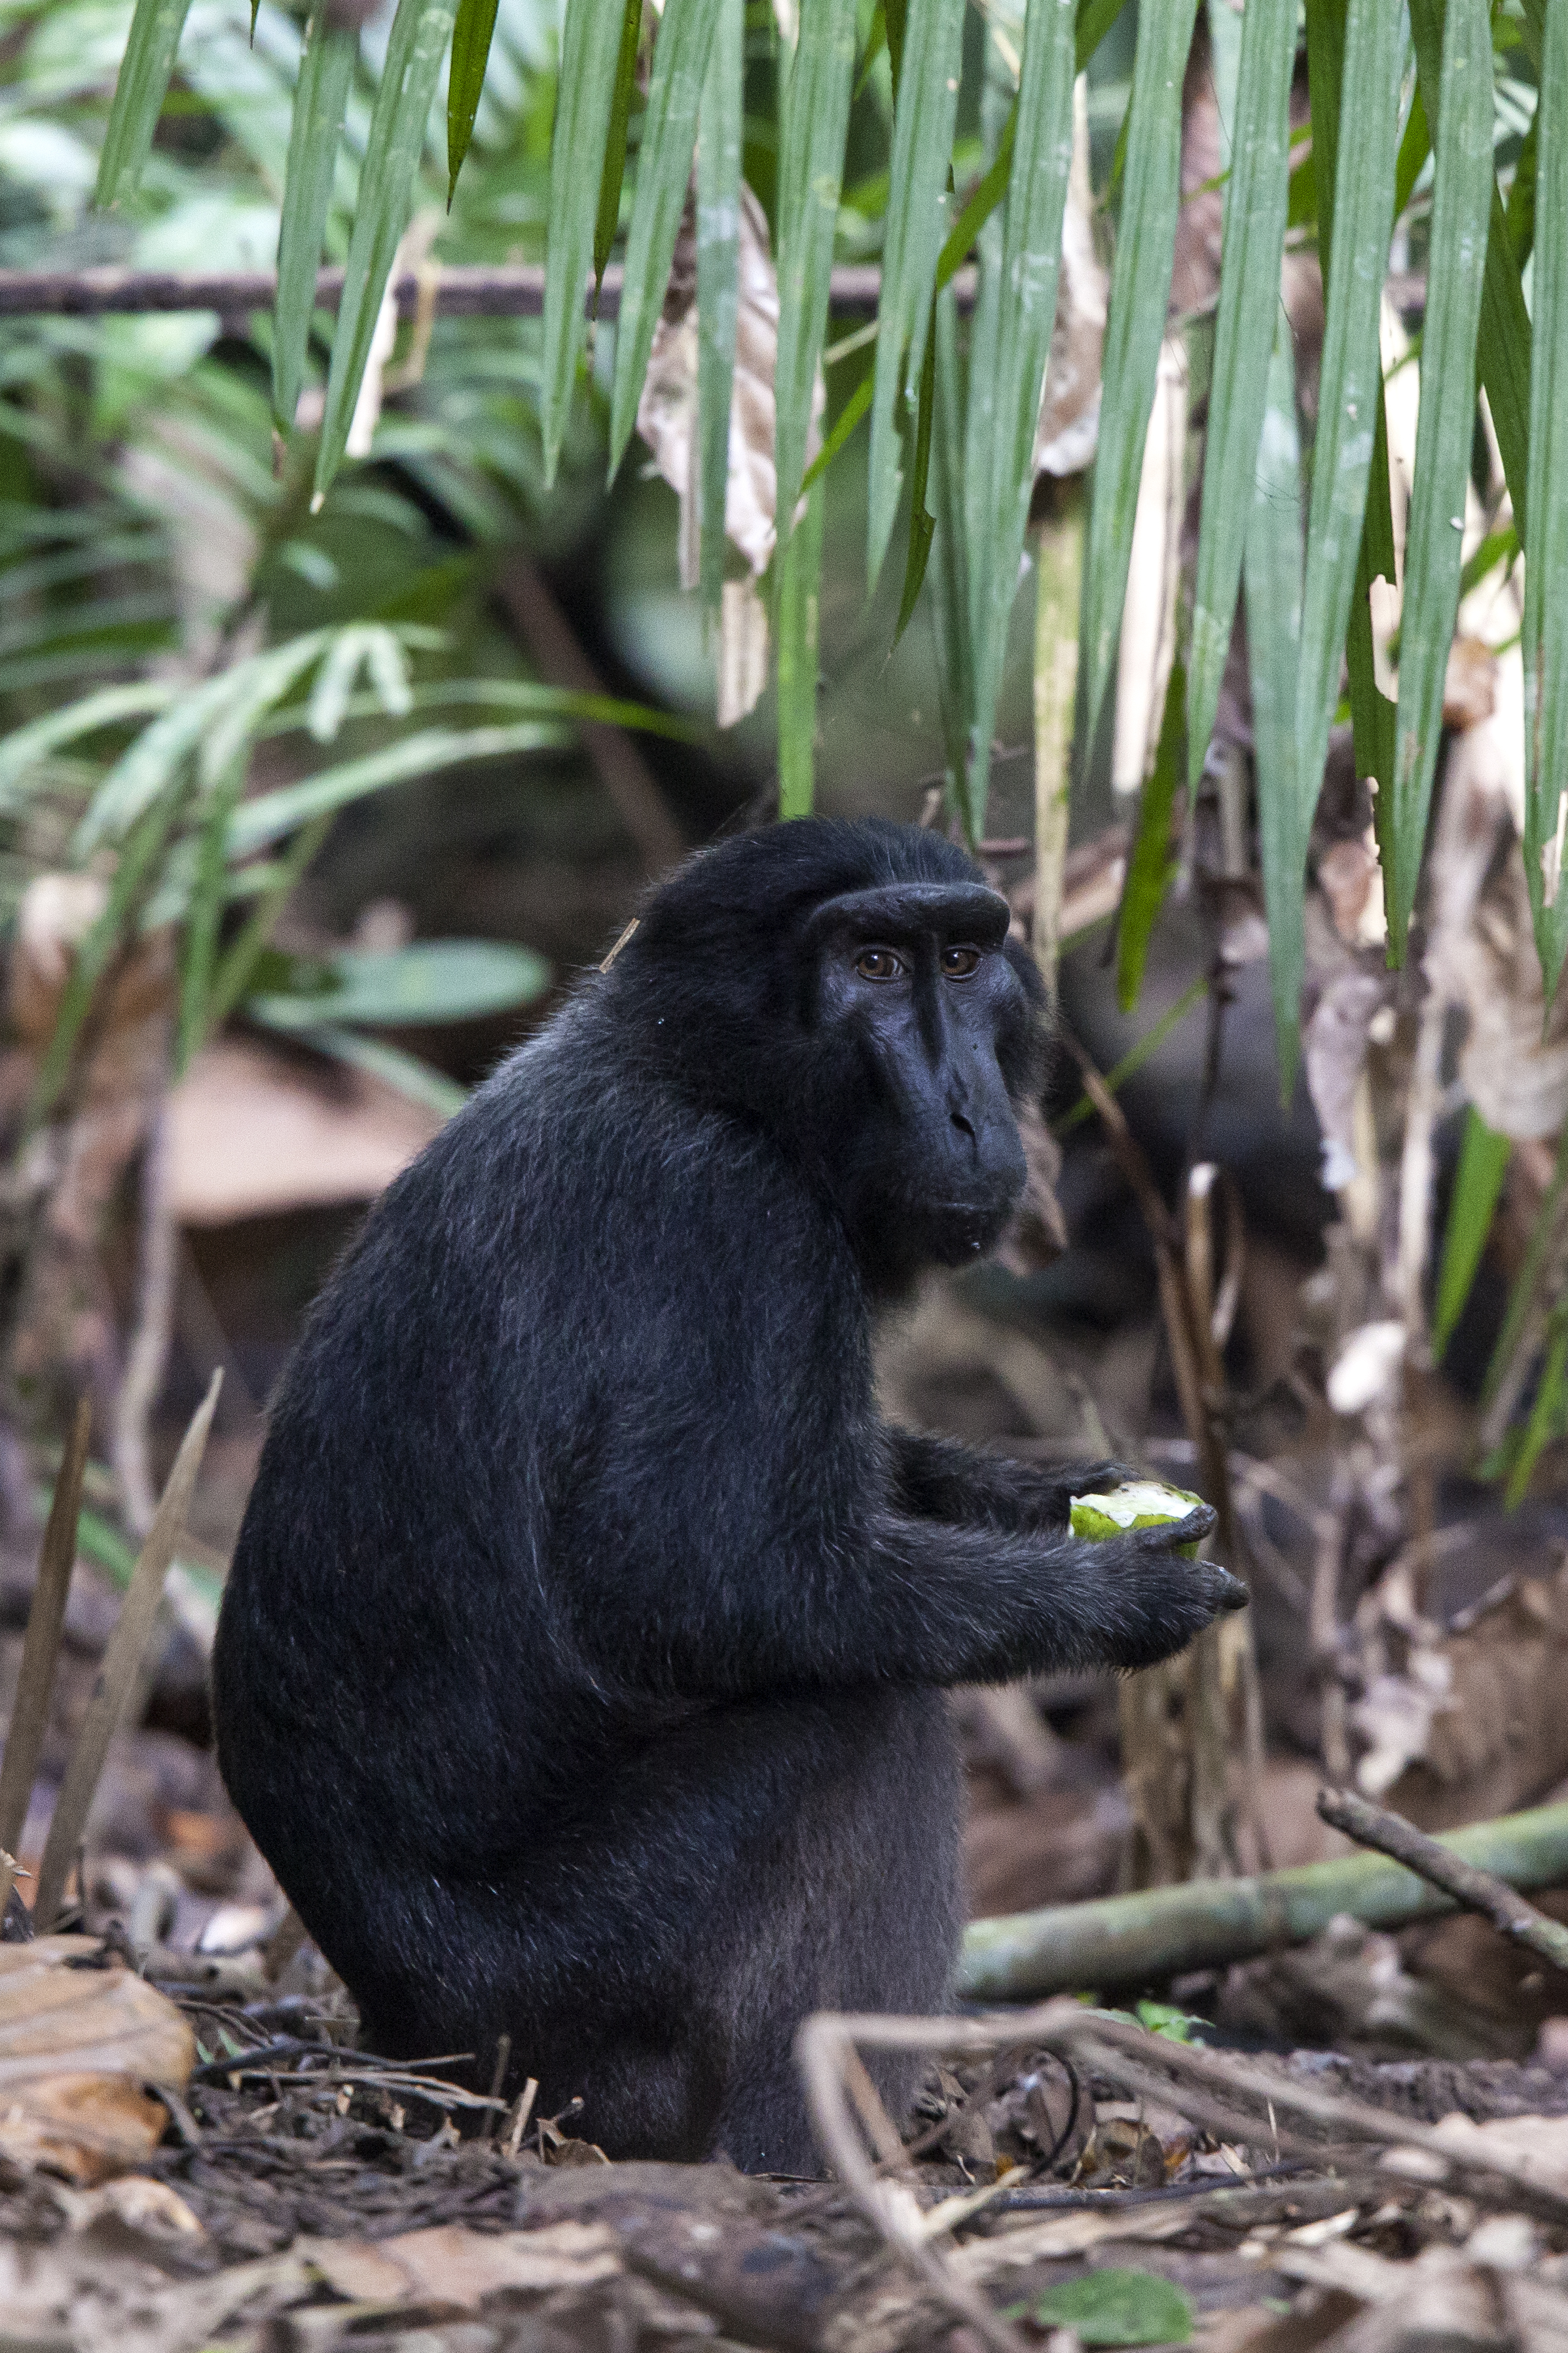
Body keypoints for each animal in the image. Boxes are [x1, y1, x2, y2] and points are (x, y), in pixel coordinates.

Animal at [211, 817, 1245, 2176]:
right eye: (871, 963)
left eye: (965, 959)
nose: (970, 1110)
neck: (696, 1074)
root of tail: (406, 2039)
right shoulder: (737, 1225)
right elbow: (690, 1583)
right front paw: (1115, 1596)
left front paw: (1069, 1495)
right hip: (566, 2000)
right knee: (862, 1721)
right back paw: (796, 2163)